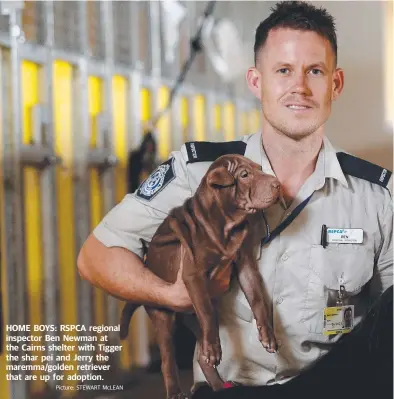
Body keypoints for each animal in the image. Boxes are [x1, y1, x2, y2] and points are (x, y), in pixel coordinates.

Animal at [120, 155, 280, 399]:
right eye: (244, 175)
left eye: (259, 169)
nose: (278, 185)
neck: (226, 224)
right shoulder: (193, 275)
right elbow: (206, 311)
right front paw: (214, 349)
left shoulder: (245, 265)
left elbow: (258, 298)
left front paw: (268, 335)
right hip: (163, 317)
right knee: (168, 359)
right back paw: (177, 391)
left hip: (191, 319)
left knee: (201, 354)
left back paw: (218, 386)